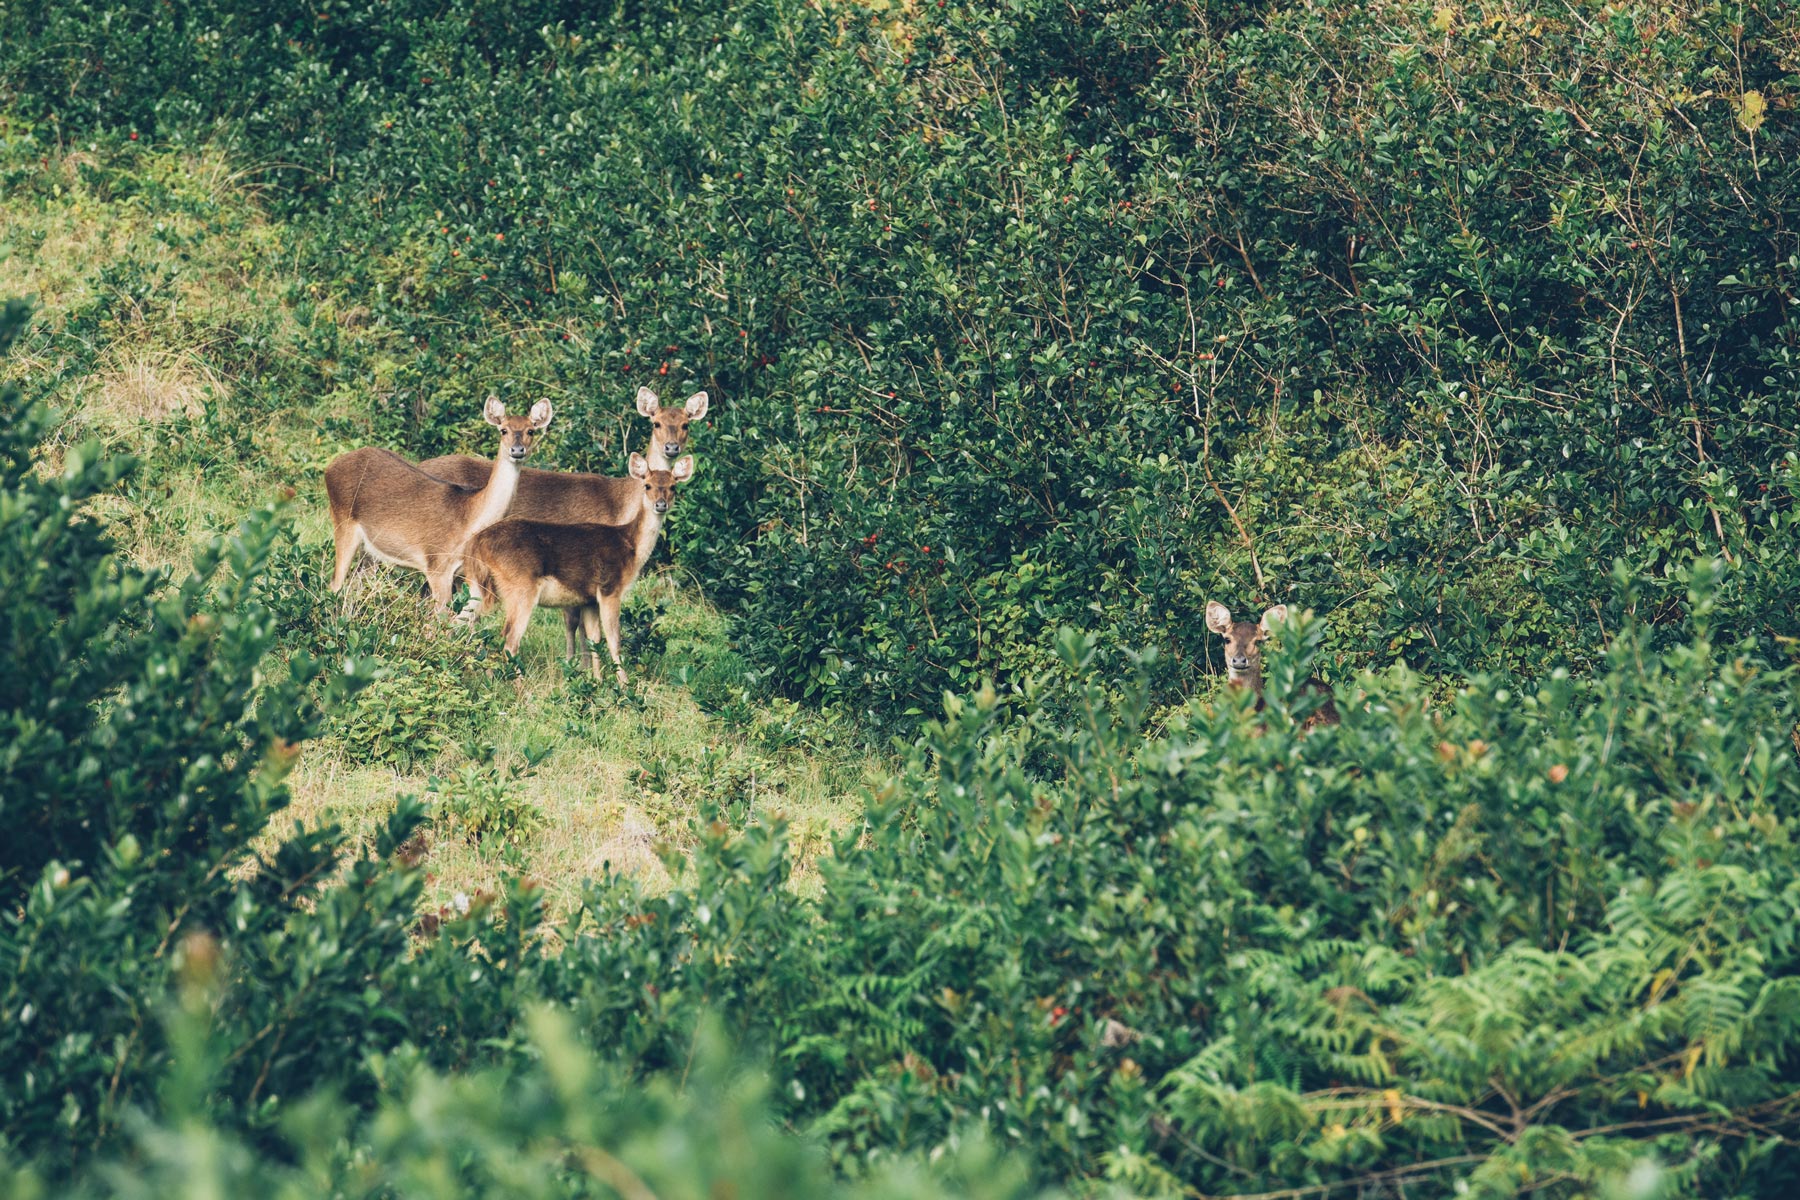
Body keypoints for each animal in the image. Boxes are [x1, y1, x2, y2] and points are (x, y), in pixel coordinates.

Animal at [322, 399, 547, 615]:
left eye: (530, 430)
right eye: (503, 429)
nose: (517, 450)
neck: (468, 520)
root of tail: (329, 468)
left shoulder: (460, 574)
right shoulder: (437, 566)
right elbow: (440, 618)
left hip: (369, 550)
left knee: (355, 584)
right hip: (342, 522)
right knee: (335, 584)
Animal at [417, 386, 705, 658]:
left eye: (686, 424)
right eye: (656, 422)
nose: (672, 448)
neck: (621, 507)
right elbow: (576, 622)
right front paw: (576, 666)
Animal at [460, 453, 691, 683]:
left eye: (673, 486)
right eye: (647, 485)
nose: (661, 505)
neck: (631, 547)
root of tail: (477, 543)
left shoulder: (589, 599)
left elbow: (594, 639)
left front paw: (597, 681)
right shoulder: (610, 588)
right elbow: (614, 640)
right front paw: (624, 685)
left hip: (478, 585)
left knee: (466, 622)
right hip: (520, 587)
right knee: (508, 640)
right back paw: (519, 685)